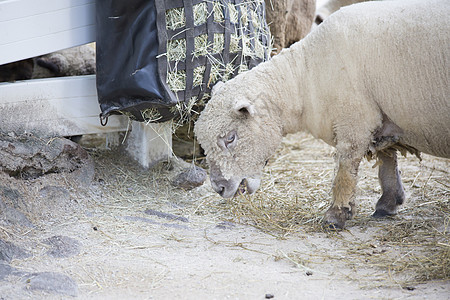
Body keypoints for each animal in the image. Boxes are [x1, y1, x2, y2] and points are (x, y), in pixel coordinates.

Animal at [193, 0, 450, 229]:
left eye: (230, 138)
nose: (219, 188)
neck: (305, 77)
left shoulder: (354, 121)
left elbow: (345, 172)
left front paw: (335, 216)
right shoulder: (378, 116)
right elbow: (387, 159)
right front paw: (388, 203)